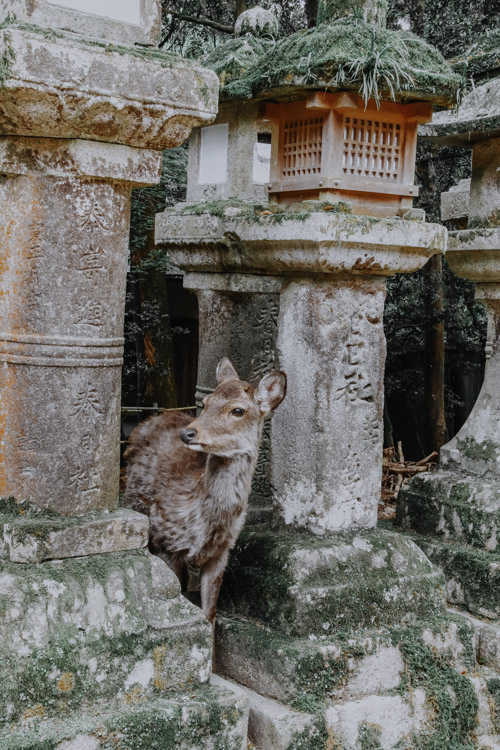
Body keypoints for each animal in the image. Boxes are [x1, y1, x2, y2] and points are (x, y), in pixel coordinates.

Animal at [124, 362, 286, 624]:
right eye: (207, 402)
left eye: (238, 410)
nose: (188, 433)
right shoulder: (166, 542)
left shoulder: (221, 553)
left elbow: (210, 614)